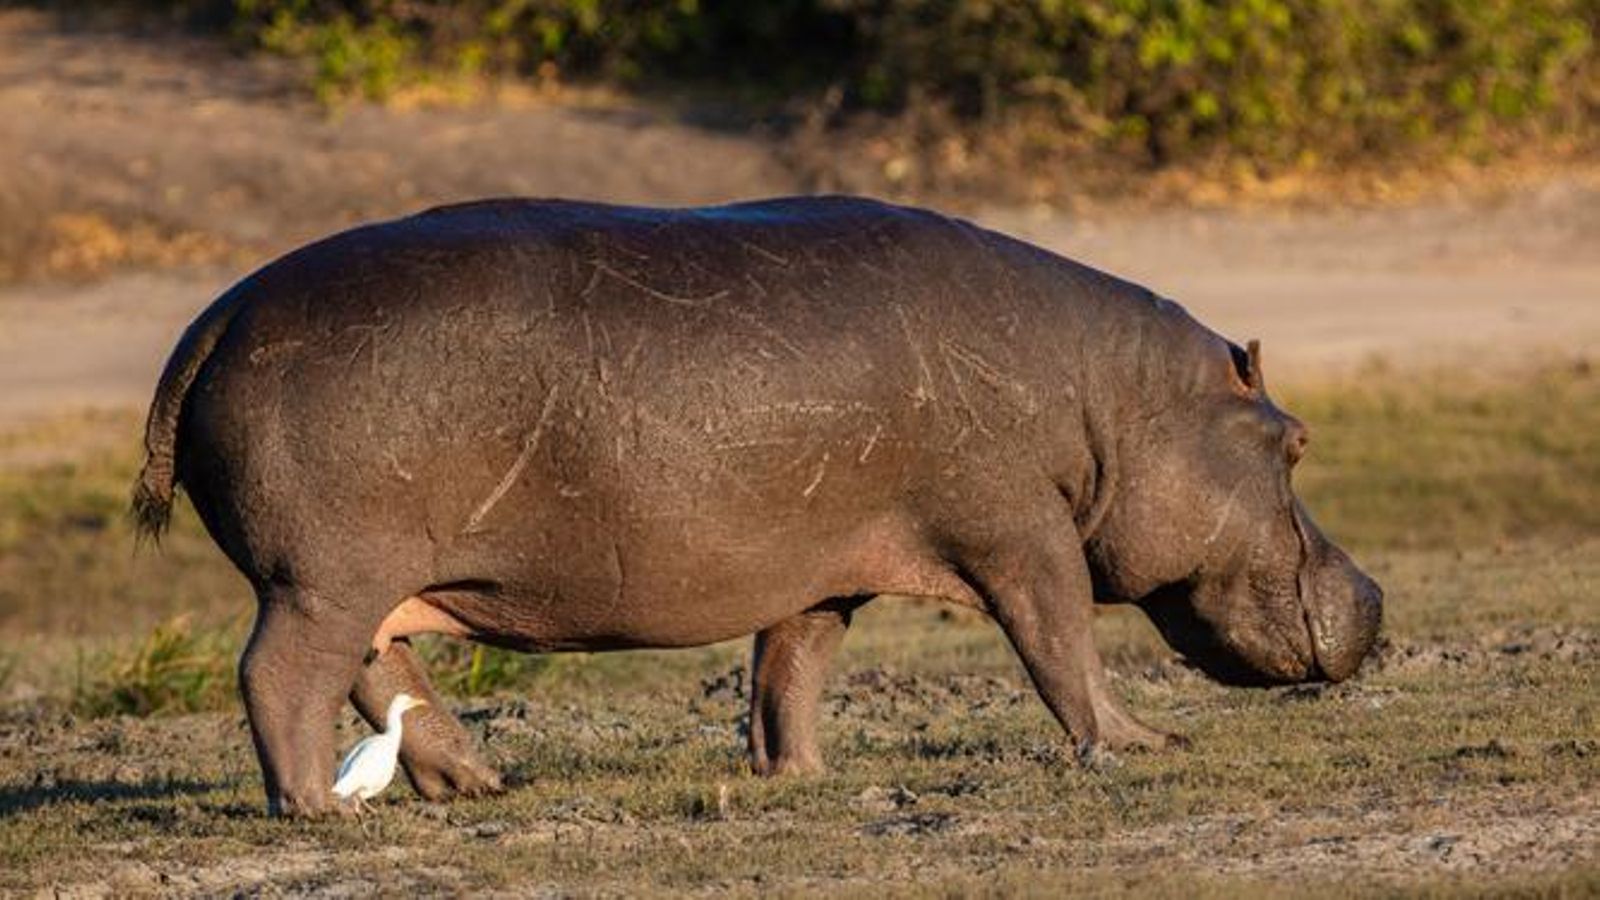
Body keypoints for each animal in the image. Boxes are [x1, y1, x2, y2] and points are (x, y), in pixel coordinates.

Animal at [133, 196, 1382, 817]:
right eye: (1295, 442)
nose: (1374, 597)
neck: (1119, 401)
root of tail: (217, 314)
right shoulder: (1018, 533)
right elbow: (1060, 640)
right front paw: (1142, 742)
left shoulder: (824, 563)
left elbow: (791, 669)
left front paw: (801, 777)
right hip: (321, 577)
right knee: (280, 676)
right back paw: (318, 810)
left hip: (366, 580)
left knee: (376, 671)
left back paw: (480, 783)